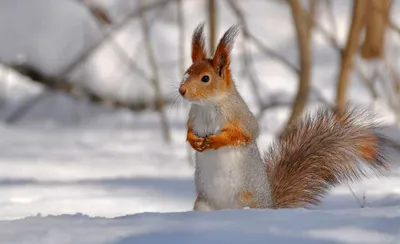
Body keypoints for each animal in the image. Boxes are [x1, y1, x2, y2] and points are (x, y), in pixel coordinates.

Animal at [178, 23, 390, 211]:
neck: (207, 105)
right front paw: (194, 141)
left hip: (247, 201)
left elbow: (244, 134)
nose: (182, 90)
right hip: (203, 205)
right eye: (186, 72)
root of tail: (271, 206)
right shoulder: (193, 116)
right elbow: (188, 131)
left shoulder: (240, 116)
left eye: (206, 78)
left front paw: (215, 141)